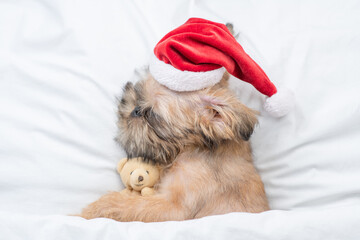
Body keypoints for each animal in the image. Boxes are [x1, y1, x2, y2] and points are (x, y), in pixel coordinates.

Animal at [80, 71, 268, 221]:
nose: (135, 109)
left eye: (152, 114)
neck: (194, 148)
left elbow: (128, 205)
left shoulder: (174, 208)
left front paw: (88, 211)